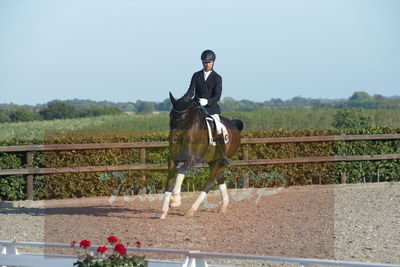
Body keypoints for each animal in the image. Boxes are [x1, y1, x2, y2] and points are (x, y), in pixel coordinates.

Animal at [155, 92, 244, 220]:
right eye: (170, 115)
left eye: (183, 117)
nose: (173, 139)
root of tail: (234, 124)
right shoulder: (172, 160)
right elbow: (169, 180)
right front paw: (163, 211)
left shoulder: (192, 161)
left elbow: (180, 171)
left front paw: (175, 199)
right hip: (213, 161)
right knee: (220, 178)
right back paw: (224, 206)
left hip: (220, 161)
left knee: (210, 182)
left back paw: (191, 209)